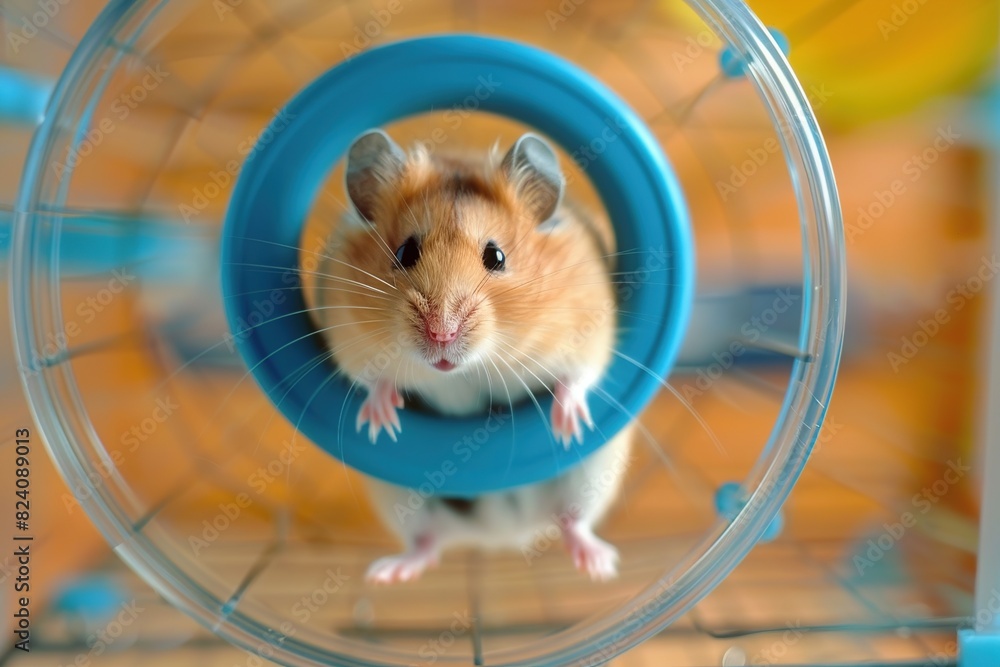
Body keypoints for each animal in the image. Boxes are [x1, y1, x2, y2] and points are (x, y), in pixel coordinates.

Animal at [310, 128, 632, 580]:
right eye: (405, 252)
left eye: (496, 256)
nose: (441, 335)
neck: (465, 370)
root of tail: (500, 538)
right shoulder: (347, 333)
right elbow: (371, 377)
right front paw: (380, 421)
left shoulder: (591, 327)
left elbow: (580, 374)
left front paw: (569, 424)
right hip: (400, 498)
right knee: (427, 541)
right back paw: (389, 573)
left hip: (594, 473)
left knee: (572, 520)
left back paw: (599, 565)